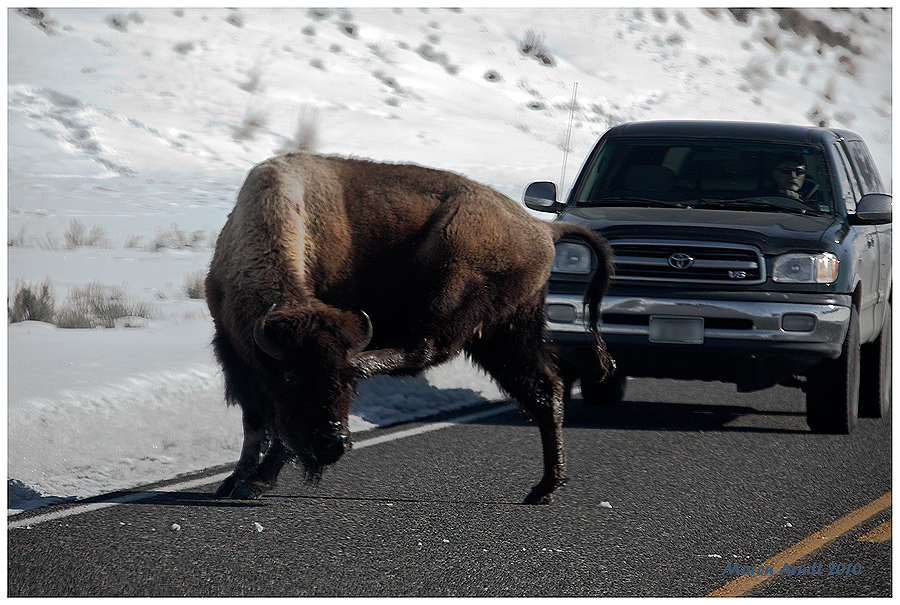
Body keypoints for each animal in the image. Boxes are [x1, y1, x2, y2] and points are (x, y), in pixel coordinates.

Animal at [206, 153, 612, 502]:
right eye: (291, 376)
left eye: (348, 383)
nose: (334, 442)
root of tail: (542, 228)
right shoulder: (237, 356)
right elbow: (255, 424)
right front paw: (233, 481)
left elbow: (273, 429)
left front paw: (256, 482)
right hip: (506, 335)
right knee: (544, 390)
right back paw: (545, 488)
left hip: (454, 298)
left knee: (428, 348)